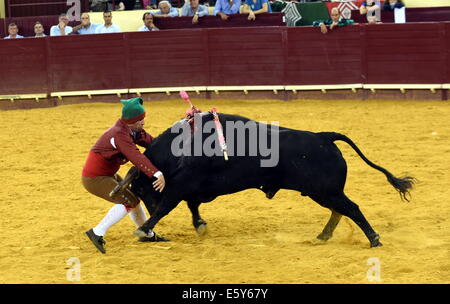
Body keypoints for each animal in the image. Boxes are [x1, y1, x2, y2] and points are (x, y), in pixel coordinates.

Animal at [118, 113, 414, 248]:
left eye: (141, 187)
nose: (147, 207)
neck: (184, 147)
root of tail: (323, 136)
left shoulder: (181, 186)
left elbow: (168, 205)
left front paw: (144, 229)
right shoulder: (192, 188)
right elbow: (192, 206)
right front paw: (199, 225)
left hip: (325, 190)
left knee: (351, 208)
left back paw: (374, 239)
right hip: (323, 192)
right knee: (340, 210)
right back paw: (324, 235)